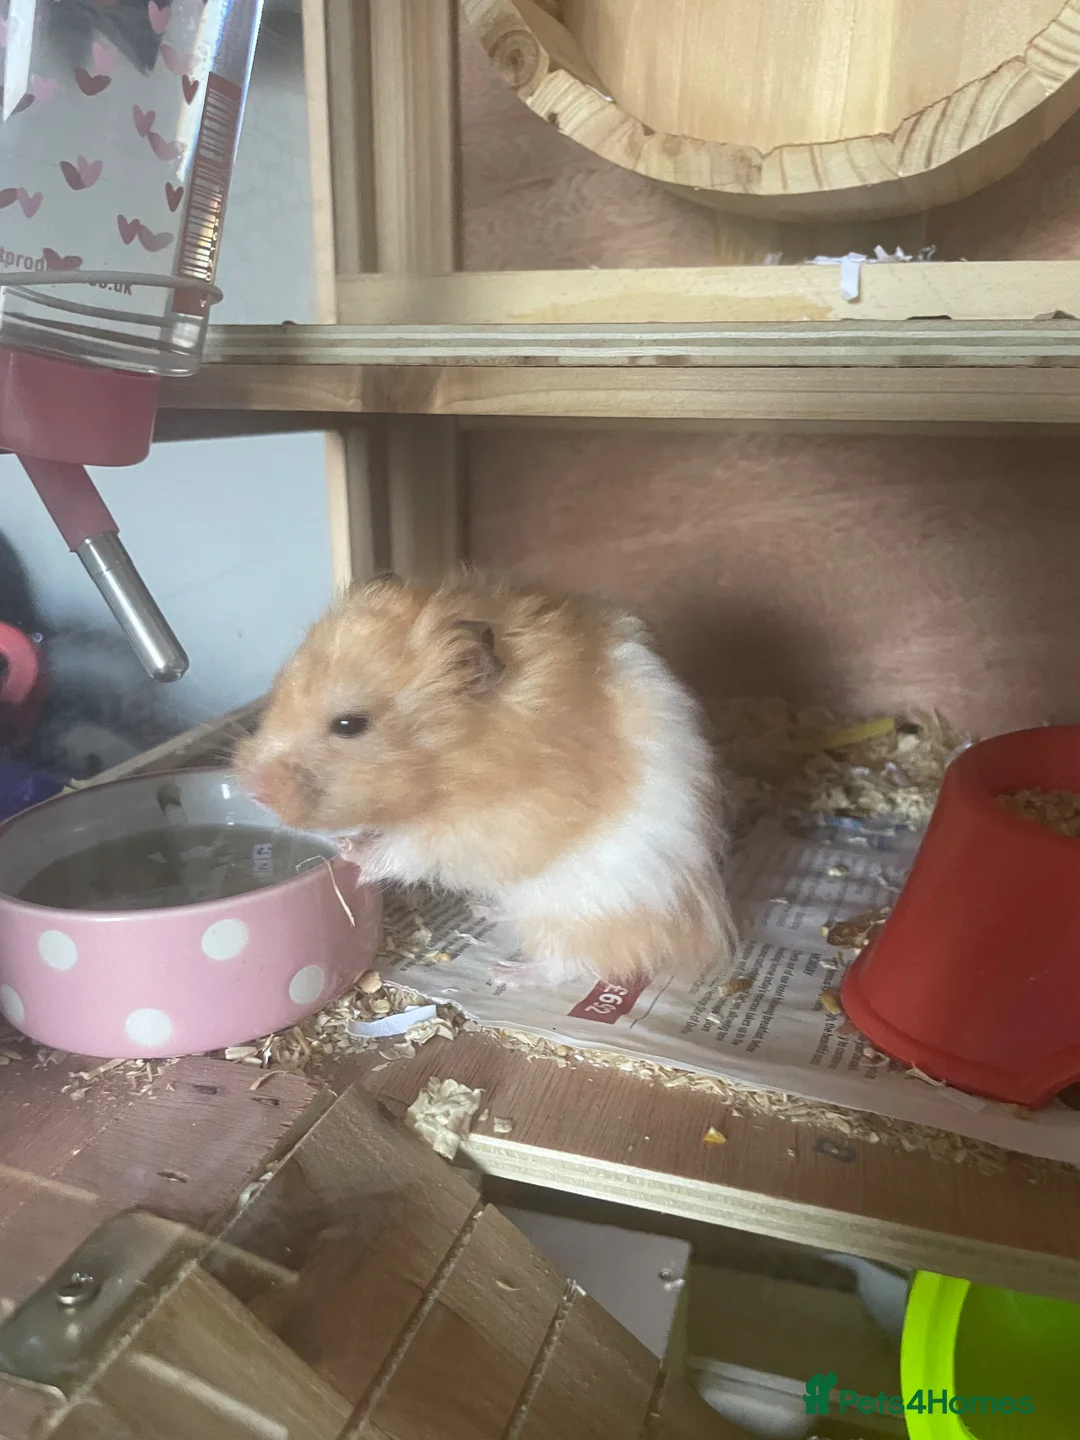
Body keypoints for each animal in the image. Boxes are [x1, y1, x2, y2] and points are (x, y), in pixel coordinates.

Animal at [235, 572, 737, 990]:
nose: (252, 790)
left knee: (582, 961)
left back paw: (507, 973)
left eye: (349, 725)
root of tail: (695, 936)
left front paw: (350, 850)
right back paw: (485, 911)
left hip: (584, 912)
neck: (459, 761)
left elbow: (406, 848)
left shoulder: (488, 827)